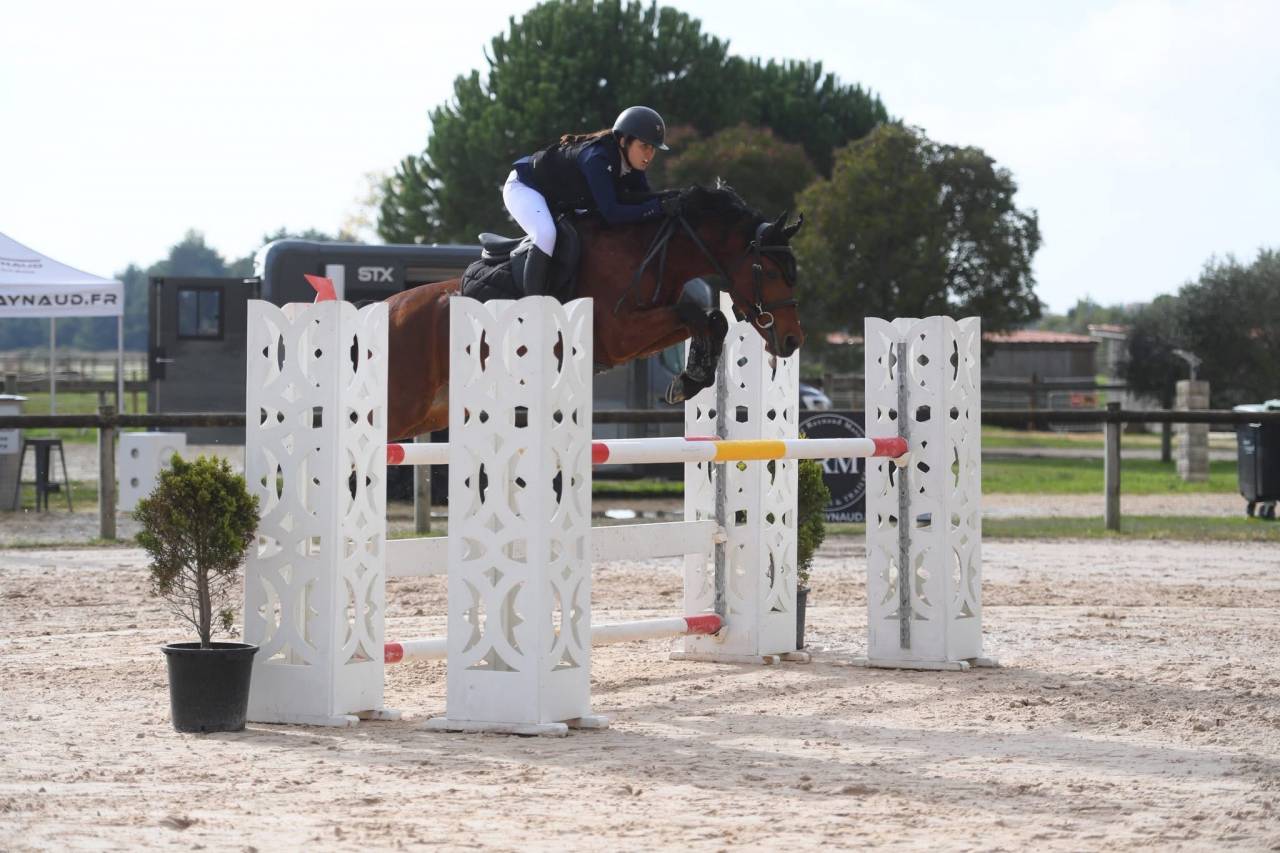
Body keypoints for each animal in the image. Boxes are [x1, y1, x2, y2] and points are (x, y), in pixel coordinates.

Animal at [384, 184, 805, 441]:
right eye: (769, 272)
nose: (791, 340)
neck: (650, 250)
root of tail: (385, 309)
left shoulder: (647, 333)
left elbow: (709, 319)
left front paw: (690, 378)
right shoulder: (620, 335)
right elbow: (699, 315)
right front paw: (690, 379)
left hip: (433, 411)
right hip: (401, 409)